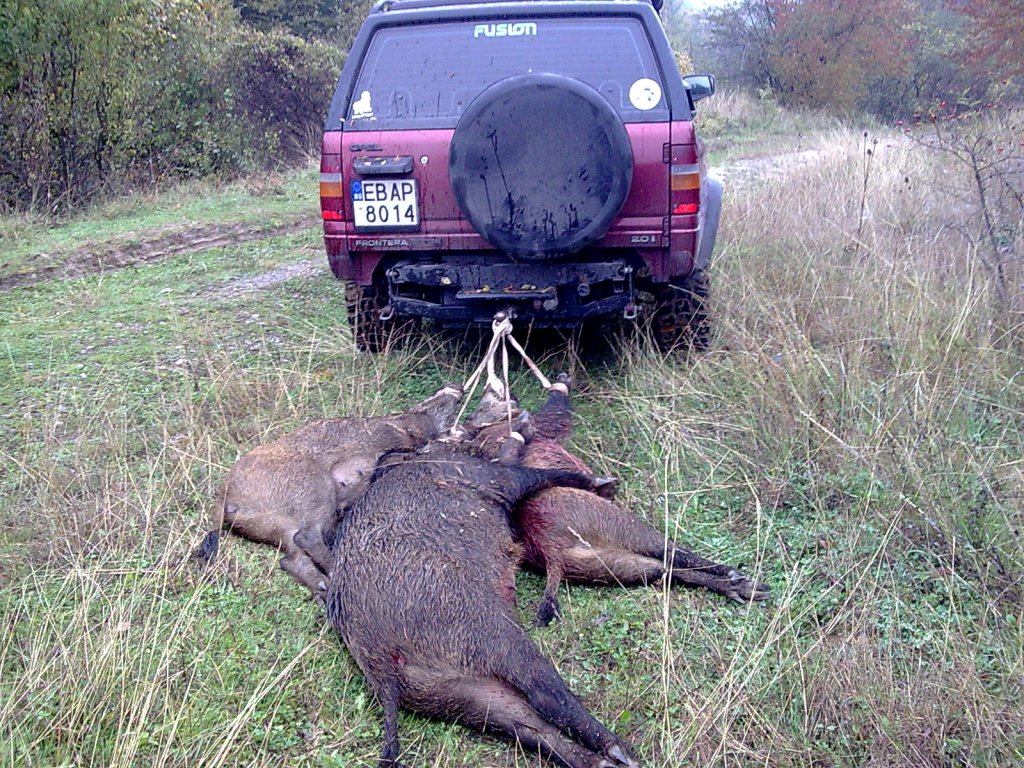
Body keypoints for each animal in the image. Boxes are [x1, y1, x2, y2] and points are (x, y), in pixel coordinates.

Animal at [192, 383, 463, 594]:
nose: (457, 387)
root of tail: (224, 498)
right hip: (315, 484)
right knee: (307, 538)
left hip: (275, 525)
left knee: (291, 559)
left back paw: (325, 587)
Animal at [322, 450, 641, 768]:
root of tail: (375, 649)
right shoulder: (491, 476)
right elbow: (537, 475)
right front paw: (605, 482)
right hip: (488, 629)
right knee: (544, 692)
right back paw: (622, 752)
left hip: (450, 692)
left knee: (525, 725)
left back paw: (610, 761)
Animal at [479, 375, 770, 626]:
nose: (496, 386)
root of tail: (553, 553)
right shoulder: (545, 425)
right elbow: (555, 413)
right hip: (621, 526)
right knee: (671, 551)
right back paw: (745, 580)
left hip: (604, 566)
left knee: (662, 570)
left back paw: (745, 588)